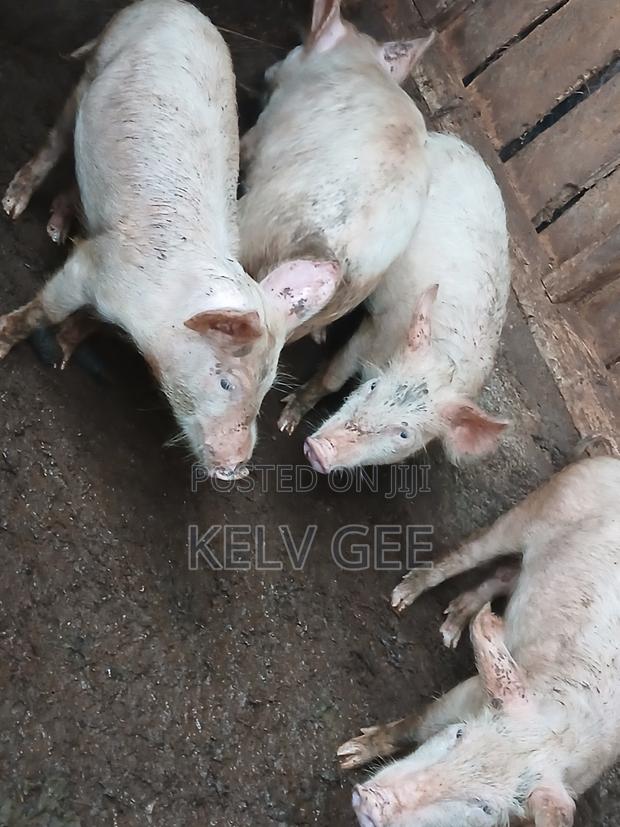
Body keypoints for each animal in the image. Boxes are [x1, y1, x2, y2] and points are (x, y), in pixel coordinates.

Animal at [0, 0, 339, 479]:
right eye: (225, 381)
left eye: (267, 386)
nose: (238, 468)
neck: (158, 318)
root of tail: (177, 6)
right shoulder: (94, 266)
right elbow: (42, 311)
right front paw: (11, 345)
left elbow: (88, 323)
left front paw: (65, 351)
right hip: (97, 64)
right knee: (56, 138)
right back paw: (15, 207)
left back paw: (59, 224)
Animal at [238, 0, 435, 348]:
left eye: (299, 48)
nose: (267, 71)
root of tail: (344, 259)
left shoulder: (265, 126)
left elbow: (245, 143)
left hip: (255, 220)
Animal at [291, 132, 511, 471]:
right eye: (373, 387)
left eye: (404, 434)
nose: (319, 449)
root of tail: (452, 141)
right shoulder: (375, 331)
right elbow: (332, 379)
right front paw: (286, 420)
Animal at [338, 454, 620, 827]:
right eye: (459, 736)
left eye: (483, 806)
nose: (371, 802)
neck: (559, 733)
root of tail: (610, 461)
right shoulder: (467, 692)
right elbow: (414, 725)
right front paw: (347, 754)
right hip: (536, 507)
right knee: (466, 554)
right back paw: (405, 599)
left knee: (506, 574)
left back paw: (455, 626)